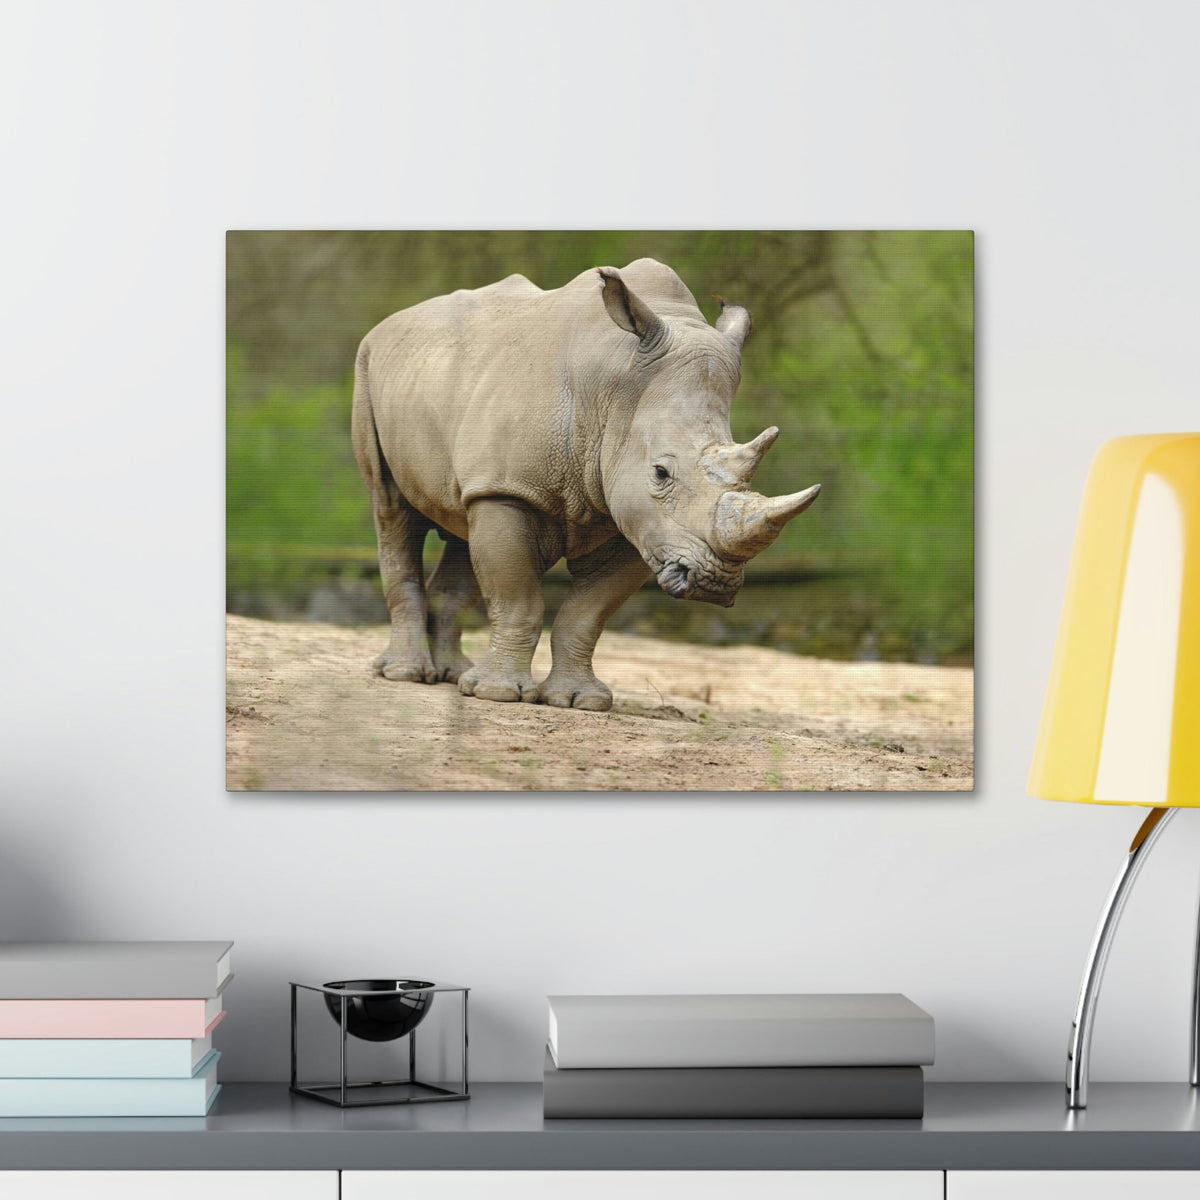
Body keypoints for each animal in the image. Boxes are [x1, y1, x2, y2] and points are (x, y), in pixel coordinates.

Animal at [351, 257, 820, 711]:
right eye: (660, 473)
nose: (714, 582)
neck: (616, 390)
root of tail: (394, 321)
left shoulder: (641, 523)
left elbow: (586, 615)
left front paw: (579, 701)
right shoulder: (511, 489)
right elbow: (518, 599)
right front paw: (498, 695)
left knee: (462, 525)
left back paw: (452, 675)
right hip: (368, 366)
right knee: (392, 512)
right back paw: (408, 675)